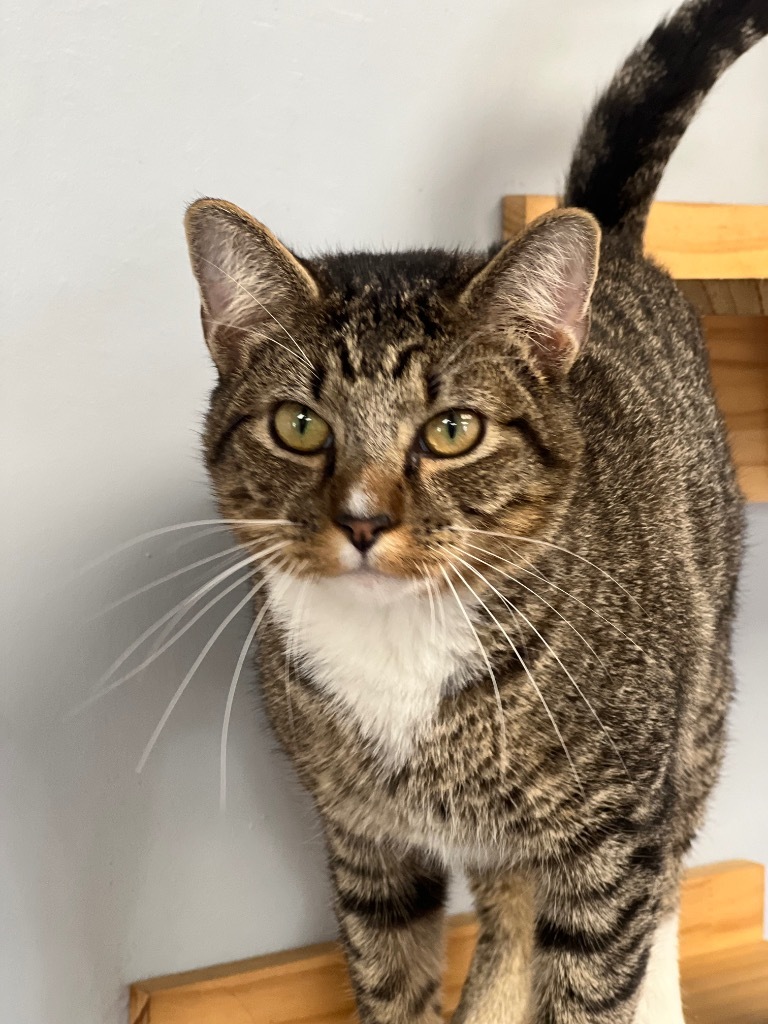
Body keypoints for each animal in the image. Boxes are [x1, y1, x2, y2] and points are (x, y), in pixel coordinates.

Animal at [183, 2, 765, 1024]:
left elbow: (596, 978)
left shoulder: (611, 842)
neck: (398, 656)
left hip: (694, 710)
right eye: (299, 424)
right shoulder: (367, 843)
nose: (363, 519)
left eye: (452, 430)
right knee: (508, 916)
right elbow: (394, 979)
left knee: (667, 880)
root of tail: (614, 240)